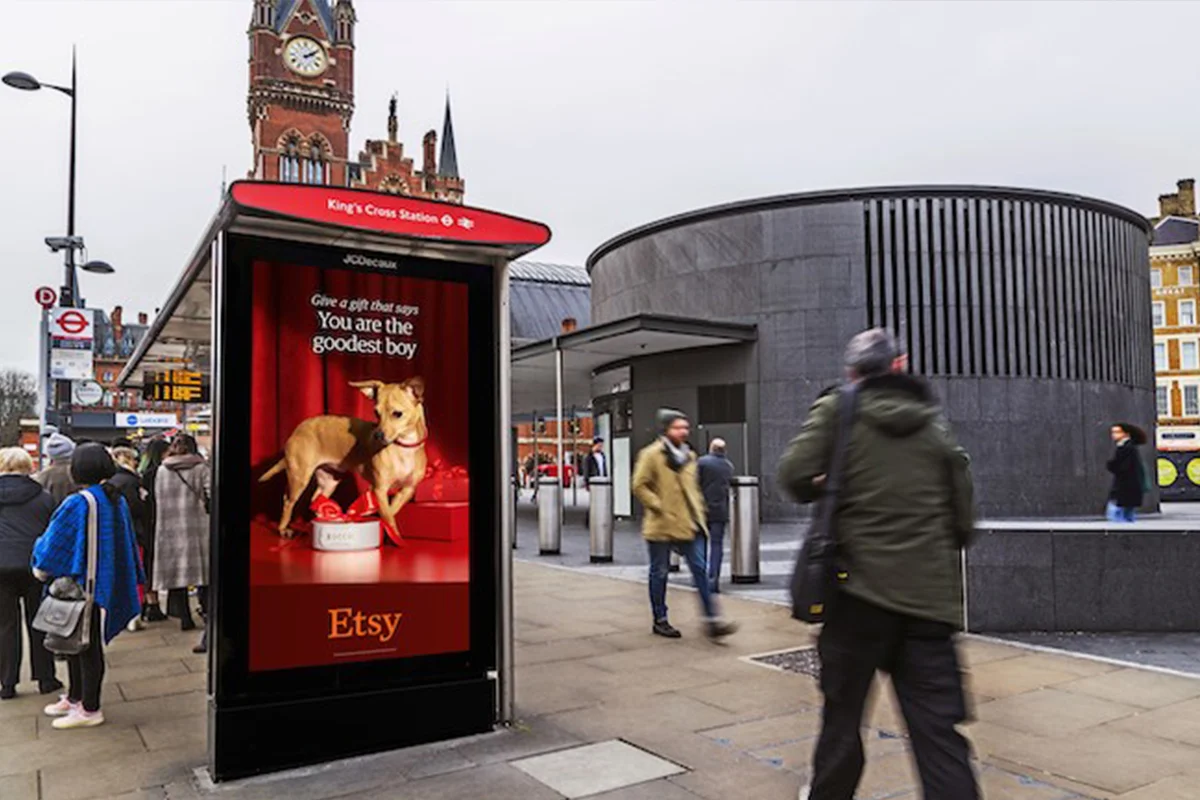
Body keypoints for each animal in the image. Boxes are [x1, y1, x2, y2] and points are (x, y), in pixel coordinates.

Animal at [260, 379, 429, 542]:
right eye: (376, 413)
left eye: (397, 414)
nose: (377, 435)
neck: (403, 448)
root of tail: (298, 429)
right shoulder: (379, 489)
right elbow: (388, 515)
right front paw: (392, 533)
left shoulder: (407, 490)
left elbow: (390, 511)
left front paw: (384, 527)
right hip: (299, 479)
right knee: (288, 502)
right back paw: (283, 529)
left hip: (329, 481)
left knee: (316, 499)